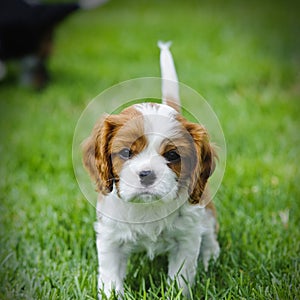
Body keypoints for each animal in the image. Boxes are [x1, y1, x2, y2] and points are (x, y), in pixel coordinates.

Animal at [83, 42, 219, 298]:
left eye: (173, 155)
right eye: (126, 152)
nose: (147, 175)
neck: (147, 208)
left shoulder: (186, 238)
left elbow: (181, 278)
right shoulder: (110, 238)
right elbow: (110, 277)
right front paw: (112, 293)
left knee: (209, 232)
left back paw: (211, 257)